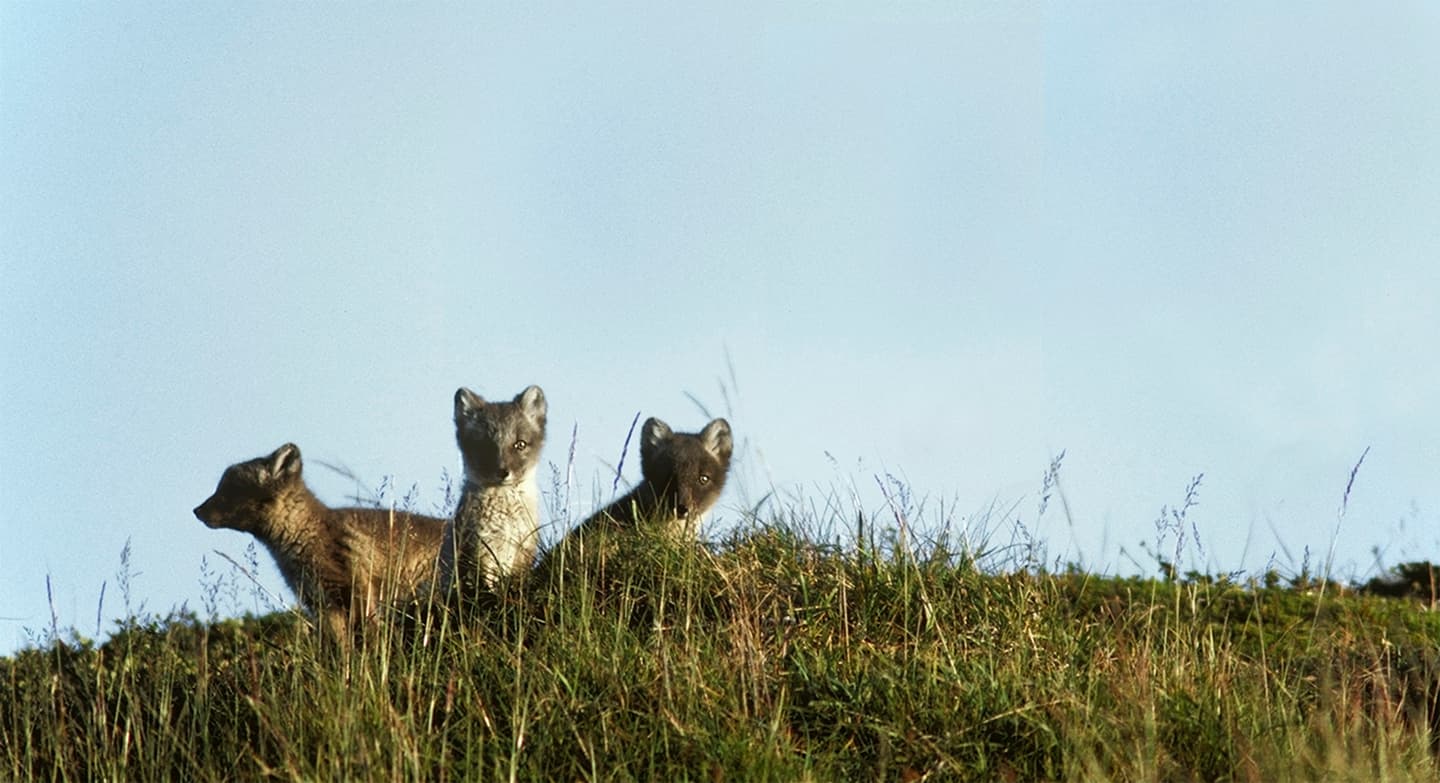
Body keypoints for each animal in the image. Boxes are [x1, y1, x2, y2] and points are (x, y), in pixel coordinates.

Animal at [194, 443, 447, 643]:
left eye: (229, 489)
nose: (197, 511)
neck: (306, 535)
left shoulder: (358, 592)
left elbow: (368, 639)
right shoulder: (322, 604)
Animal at [435, 384, 547, 598]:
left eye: (520, 444)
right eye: (485, 446)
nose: (503, 472)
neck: (505, 519)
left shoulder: (523, 549)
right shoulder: (480, 548)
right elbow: (487, 586)